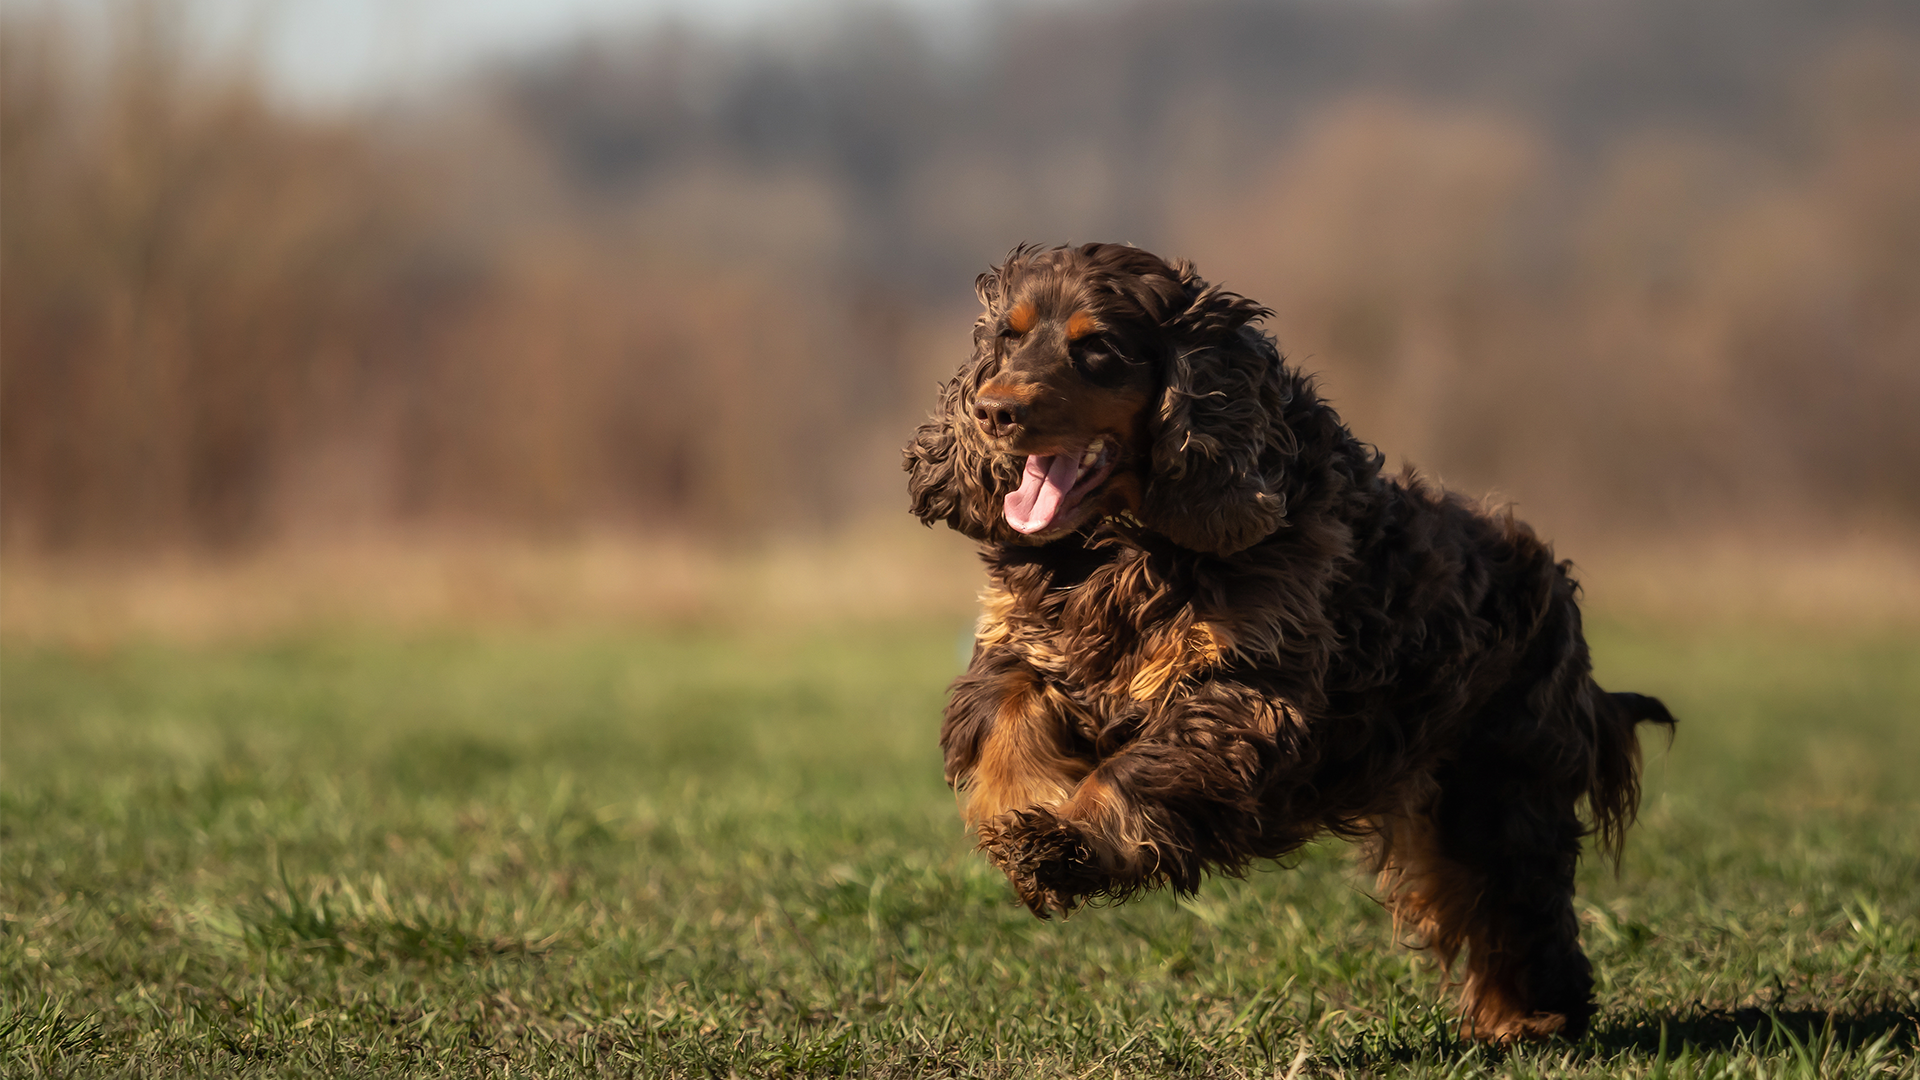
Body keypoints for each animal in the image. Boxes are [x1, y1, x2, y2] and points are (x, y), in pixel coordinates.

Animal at [898, 242, 1666, 1037]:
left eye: (1097, 347)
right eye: (1009, 336)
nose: (993, 410)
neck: (1127, 549)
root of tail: (1555, 583)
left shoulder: (1246, 692)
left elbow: (1132, 773)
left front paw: (1063, 843)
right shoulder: (1019, 643)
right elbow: (1007, 715)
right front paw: (1022, 819)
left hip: (1496, 788)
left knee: (1518, 902)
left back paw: (1533, 1019)